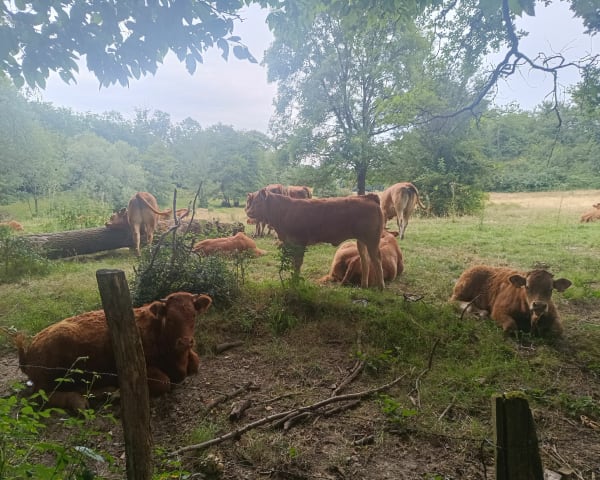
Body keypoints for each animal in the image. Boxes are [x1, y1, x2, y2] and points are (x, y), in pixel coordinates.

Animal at [16, 291, 212, 410]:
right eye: (170, 318)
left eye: (193, 315)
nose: (185, 341)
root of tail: (32, 345)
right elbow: (164, 382)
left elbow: (196, 362)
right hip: (50, 375)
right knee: (41, 396)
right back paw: (79, 401)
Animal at [245, 188, 385, 289]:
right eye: (251, 202)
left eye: (258, 202)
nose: (248, 212)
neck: (284, 212)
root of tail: (367, 197)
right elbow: (293, 263)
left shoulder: (299, 242)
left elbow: (297, 264)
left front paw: (295, 282)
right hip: (361, 241)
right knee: (365, 260)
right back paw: (364, 286)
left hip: (372, 239)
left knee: (377, 260)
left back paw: (380, 288)